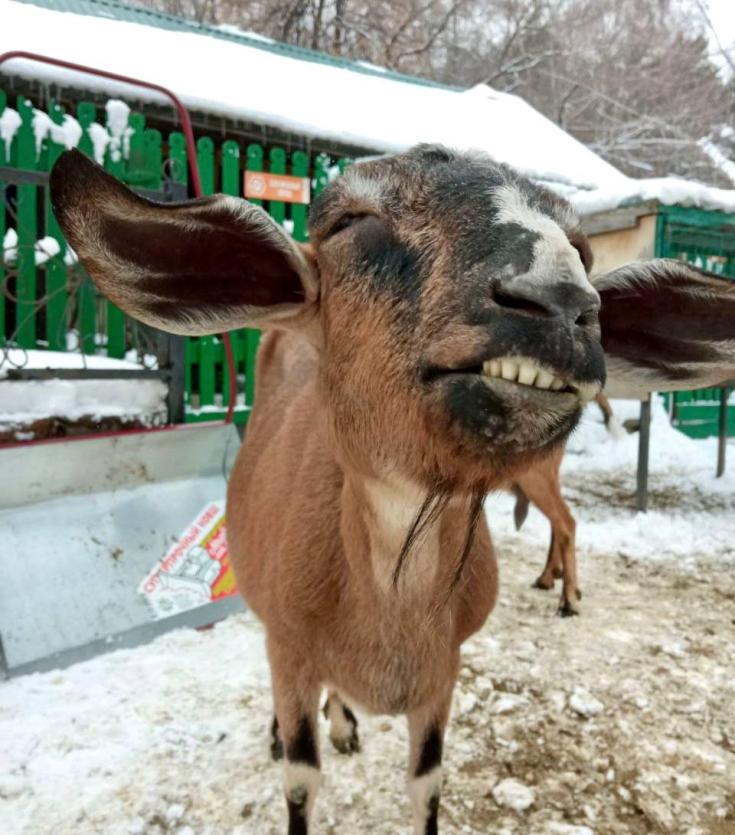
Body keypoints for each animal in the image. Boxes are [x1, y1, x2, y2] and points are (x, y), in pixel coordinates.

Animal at [50, 147, 735, 832]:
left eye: (583, 250)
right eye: (351, 220)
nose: (562, 302)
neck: (389, 604)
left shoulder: (443, 672)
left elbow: (426, 782)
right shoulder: (290, 648)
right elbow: (300, 779)